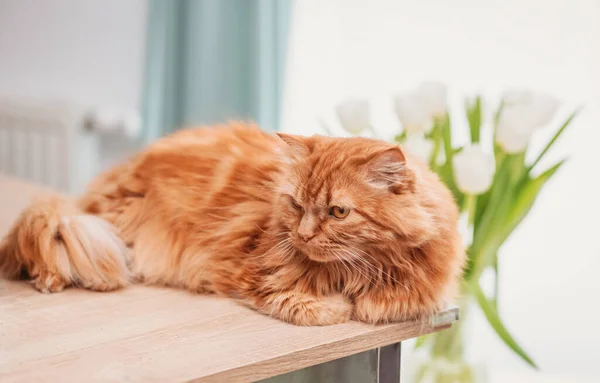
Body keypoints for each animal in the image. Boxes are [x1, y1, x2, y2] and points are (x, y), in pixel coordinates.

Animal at [0, 124, 464, 328]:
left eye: (337, 213)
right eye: (296, 205)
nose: (304, 234)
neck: (360, 271)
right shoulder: (250, 273)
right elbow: (309, 306)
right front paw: (338, 306)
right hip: (101, 228)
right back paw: (59, 278)